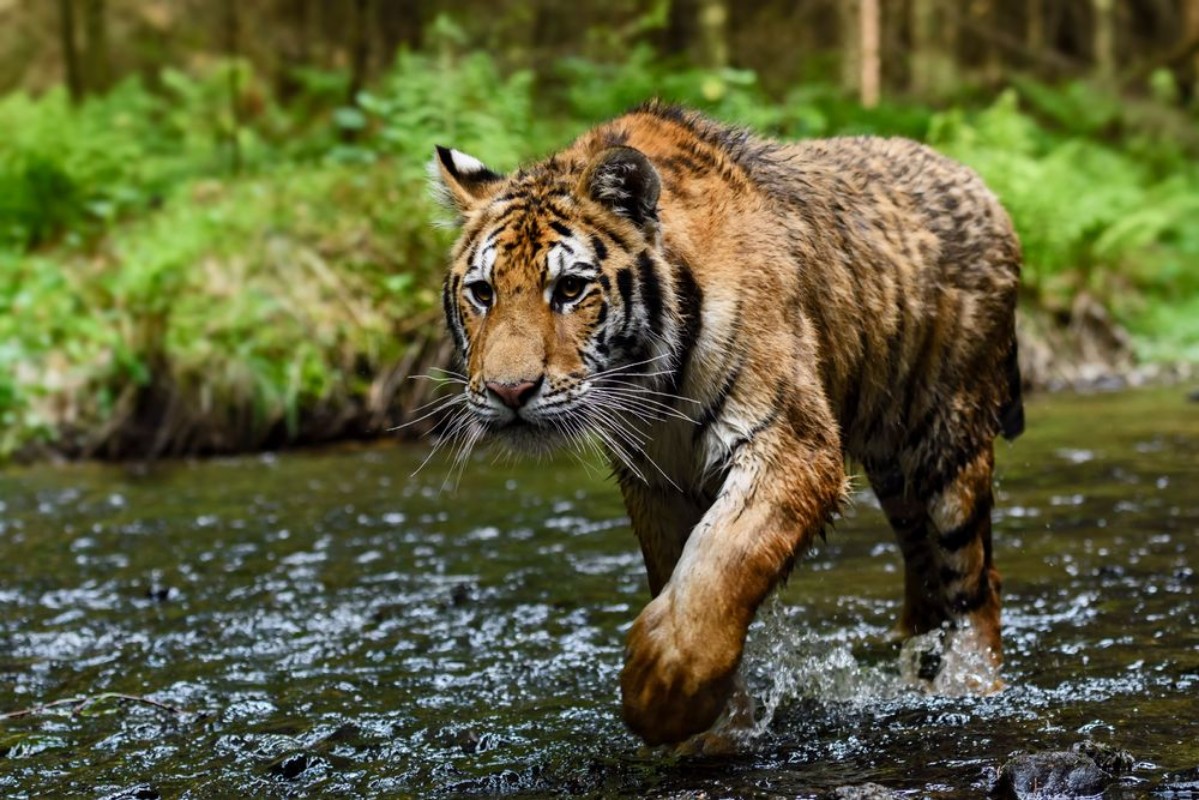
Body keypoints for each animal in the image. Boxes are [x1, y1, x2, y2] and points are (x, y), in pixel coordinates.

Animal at [429, 101, 1024, 747]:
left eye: (569, 288)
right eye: (482, 292)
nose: (509, 391)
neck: (649, 386)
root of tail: (980, 182)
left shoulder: (793, 446)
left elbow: (721, 565)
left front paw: (657, 693)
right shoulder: (656, 480)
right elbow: (683, 574)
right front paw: (717, 727)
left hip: (949, 445)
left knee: (977, 582)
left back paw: (969, 689)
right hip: (896, 471)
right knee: (927, 579)